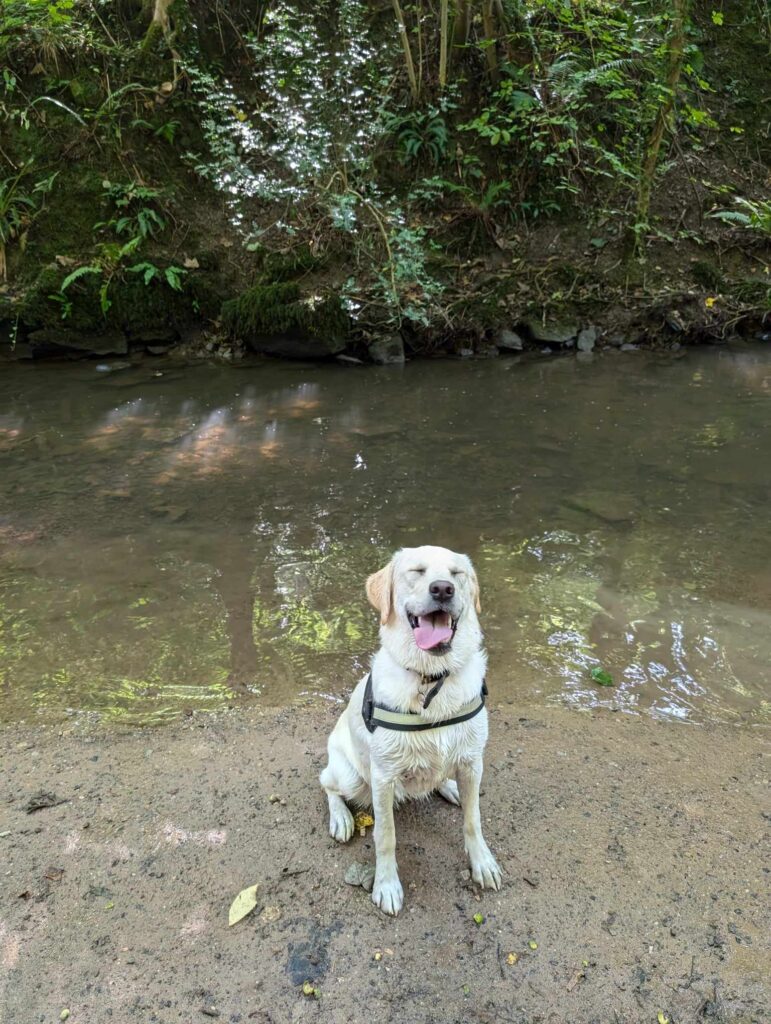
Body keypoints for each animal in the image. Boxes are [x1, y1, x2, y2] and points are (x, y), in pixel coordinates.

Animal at [317, 548, 499, 917]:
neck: (432, 678)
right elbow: (385, 836)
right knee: (326, 782)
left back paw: (450, 786)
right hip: (353, 777)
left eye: (457, 574)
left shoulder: (473, 761)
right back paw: (341, 818)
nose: (442, 589)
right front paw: (386, 885)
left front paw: (482, 862)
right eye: (417, 571)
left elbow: (473, 819)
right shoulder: (383, 776)